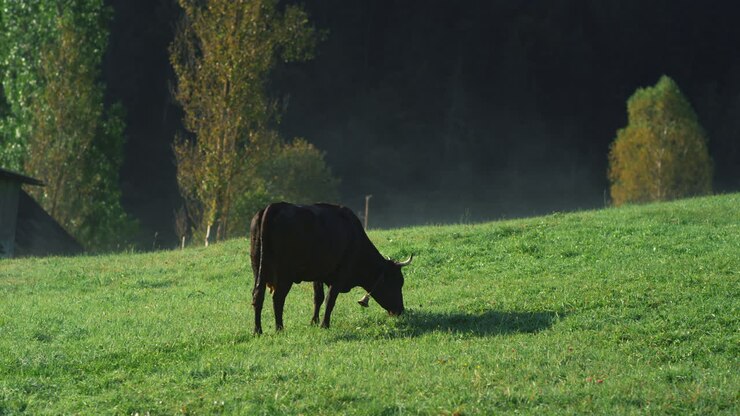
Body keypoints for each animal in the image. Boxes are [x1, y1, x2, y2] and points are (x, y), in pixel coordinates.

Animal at [250, 202, 412, 334]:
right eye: (396, 283)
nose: (400, 310)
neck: (354, 237)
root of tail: (273, 207)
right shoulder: (340, 274)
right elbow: (330, 298)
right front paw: (324, 324)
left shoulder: (319, 274)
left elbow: (318, 297)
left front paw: (314, 321)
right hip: (285, 275)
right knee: (278, 298)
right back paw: (279, 328)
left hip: (258, 271)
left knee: (258, 296)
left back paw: (257, 330)